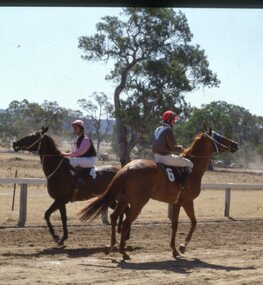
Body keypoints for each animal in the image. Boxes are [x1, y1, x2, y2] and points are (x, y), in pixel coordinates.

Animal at [78, 129, 239, 260]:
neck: (193, 169)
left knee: (114, 217)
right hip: (138, 203)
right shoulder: (185, 202)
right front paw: (181, 247)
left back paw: (111, 246)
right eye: (219, 136)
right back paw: (123, 252)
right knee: (126, 222)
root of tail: (126, 168)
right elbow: (188, 223)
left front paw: (176, 248)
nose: (235, 144)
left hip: (124, 200)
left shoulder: (178, 203)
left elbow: (183, 223)